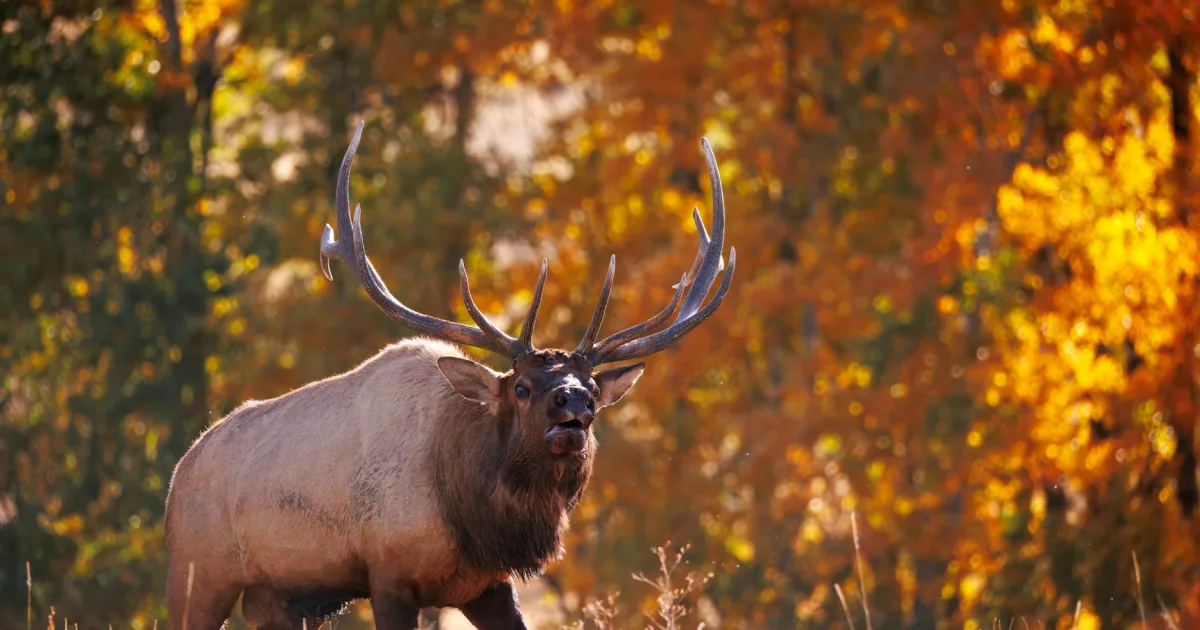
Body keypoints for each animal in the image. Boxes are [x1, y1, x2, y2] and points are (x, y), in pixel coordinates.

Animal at [163, 121, 735, 630]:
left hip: (278, 599)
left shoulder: (487, 586)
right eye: (521, 387)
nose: (575, 402)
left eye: (593, 386)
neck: (473, 515)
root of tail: (180, 471)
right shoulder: (389, 576)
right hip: (198, 574)